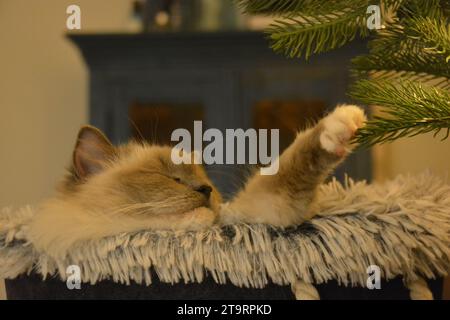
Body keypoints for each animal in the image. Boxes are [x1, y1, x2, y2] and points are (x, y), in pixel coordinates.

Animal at [27, 104, 366, 254]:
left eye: (206, 182)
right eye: (169, 178)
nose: (205, 190)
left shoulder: (262, 211)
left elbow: (288, 167)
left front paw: (346, 122)